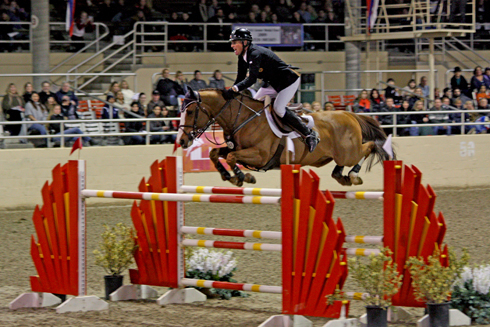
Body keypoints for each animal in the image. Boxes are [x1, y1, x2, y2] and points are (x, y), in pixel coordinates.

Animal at [178, 89, 392, 187]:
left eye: (190, 111)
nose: (181, 141)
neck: (243, 118)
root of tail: (349, 114)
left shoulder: (260, 155)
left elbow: (231, 158)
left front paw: (243, 177)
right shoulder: (235, 148)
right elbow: (216, 153)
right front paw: (229, 176)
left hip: (348, 152)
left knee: (370, 146)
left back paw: (354, 175)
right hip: (337, 155)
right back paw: (341, 176)